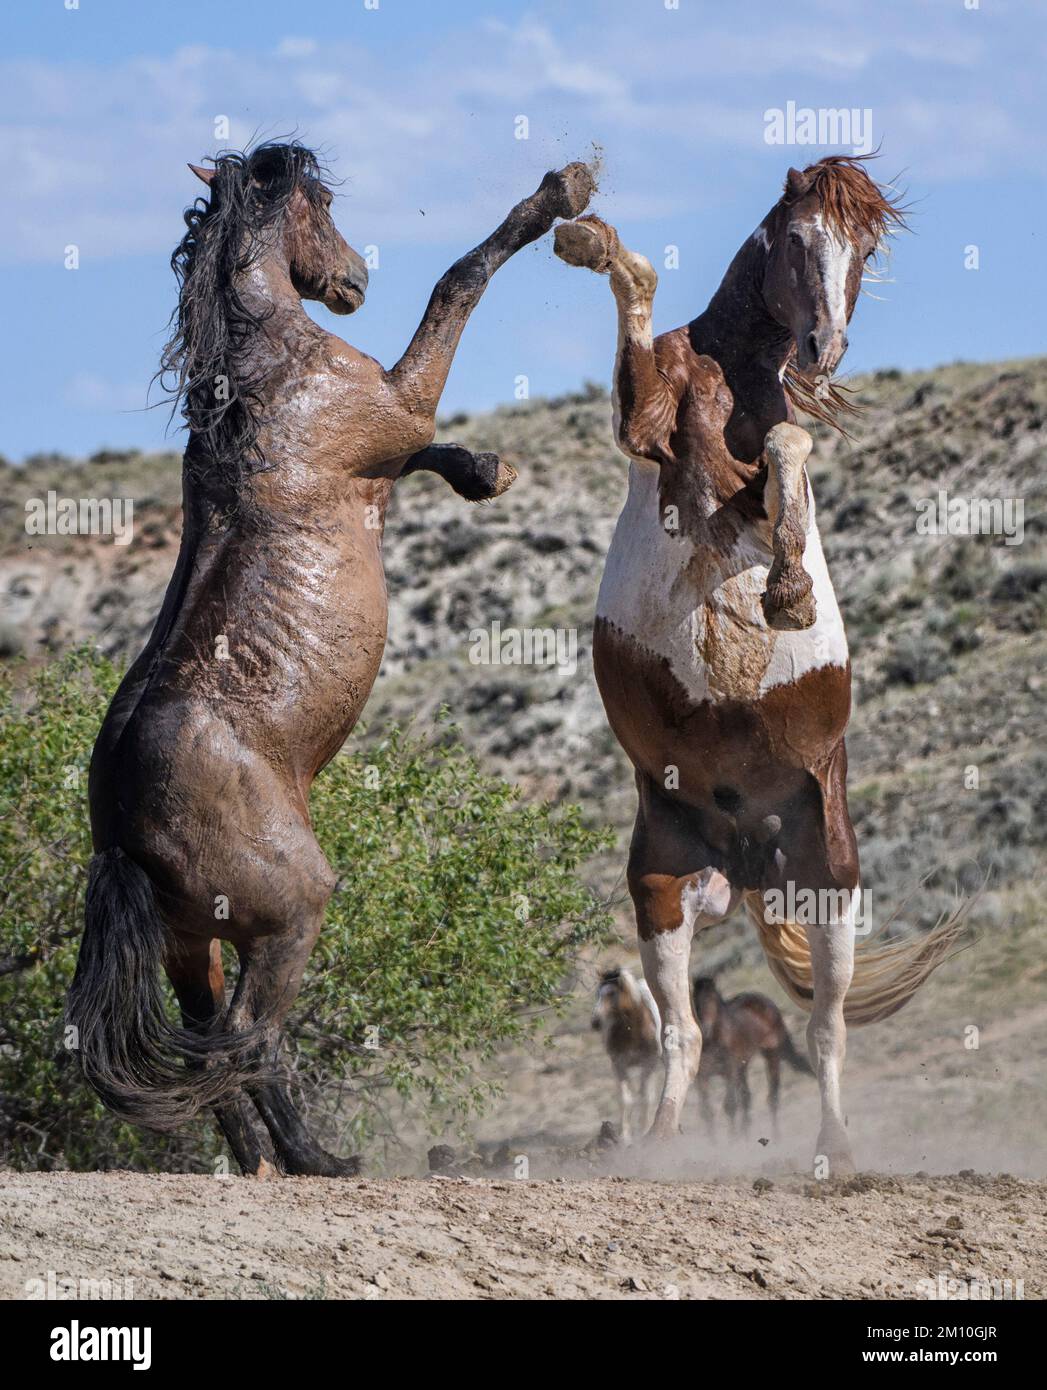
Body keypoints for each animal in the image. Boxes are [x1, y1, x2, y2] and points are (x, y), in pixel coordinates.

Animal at [66, 141, 595, 1176]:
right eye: (322, 205)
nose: (353, 281)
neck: (263, 377)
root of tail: (119, 830)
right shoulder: (395, 404)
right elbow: (460, 280)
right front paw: (558, 194)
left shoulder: (387, 435)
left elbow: (433, 442)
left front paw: (485, 471)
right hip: (289, 913)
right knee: (249, 1040)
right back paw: (321, 1160)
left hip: (194, 942)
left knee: (211, 1051)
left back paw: (267, 1165)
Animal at [591, 966, 661, 1143]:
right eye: (597, 994)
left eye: (611, 993)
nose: (595, 1022)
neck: (633, 1030)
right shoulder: (619, 1065)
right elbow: (626, 1099)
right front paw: (625, 1137)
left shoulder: (648, 1063)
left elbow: (645, 1097)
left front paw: (643, 1132)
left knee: (649, 1095)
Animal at [692, 976, 811, 1136]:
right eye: (695, 1000)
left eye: (712, 999)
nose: (704, 1029)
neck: (715, 1041)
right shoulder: (703, 1076)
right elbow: (707, 1113)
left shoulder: (730, 1071)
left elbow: (730, 1106)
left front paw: (733, 1139)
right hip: (743, 1066)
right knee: (746, 1099)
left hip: (771, 1055)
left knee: (772, 1098)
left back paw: (775, 1137)